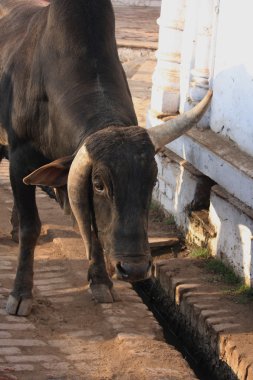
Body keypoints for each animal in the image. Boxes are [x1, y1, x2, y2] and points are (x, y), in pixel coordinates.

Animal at [0, 0, 211, 314]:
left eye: (152, 181)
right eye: (99, 184)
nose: (134, 269)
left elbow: (93, 227)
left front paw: (101, 282)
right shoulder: (19, 157)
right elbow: (31, 227)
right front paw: (21, 294)